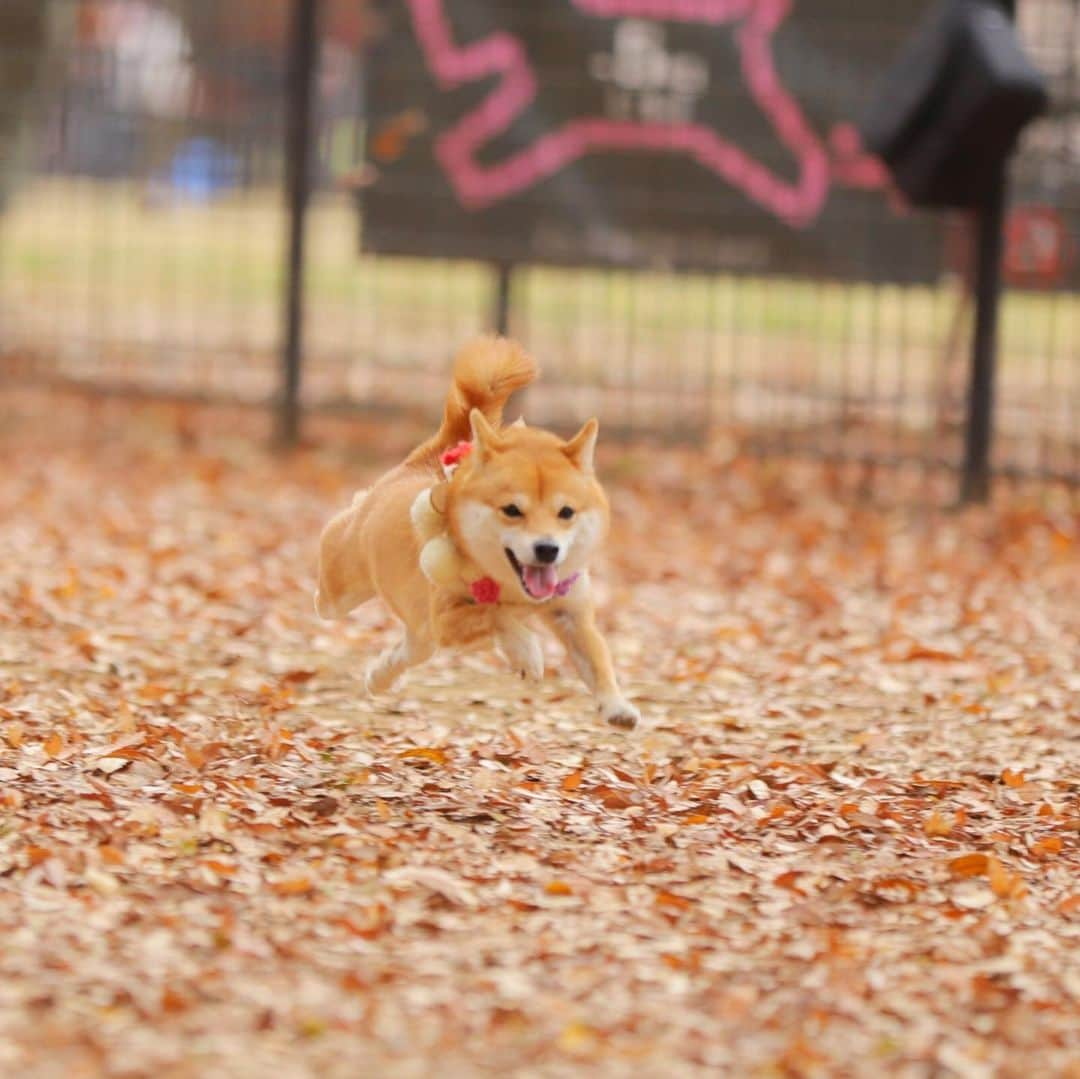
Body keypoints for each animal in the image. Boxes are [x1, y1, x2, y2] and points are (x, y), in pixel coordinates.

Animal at [317, 332, 639, 730]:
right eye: (512, 511)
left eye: (566, 513)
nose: (547, 549)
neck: (516, 591)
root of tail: (430, 460)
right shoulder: (448, 616)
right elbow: (495, 614)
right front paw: (527, 653)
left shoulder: (571, 613)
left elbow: (597, 658)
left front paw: (616, 705)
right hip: (342, 594)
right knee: (332, 580)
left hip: (423, 635)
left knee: (409, 648)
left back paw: (381, 675)